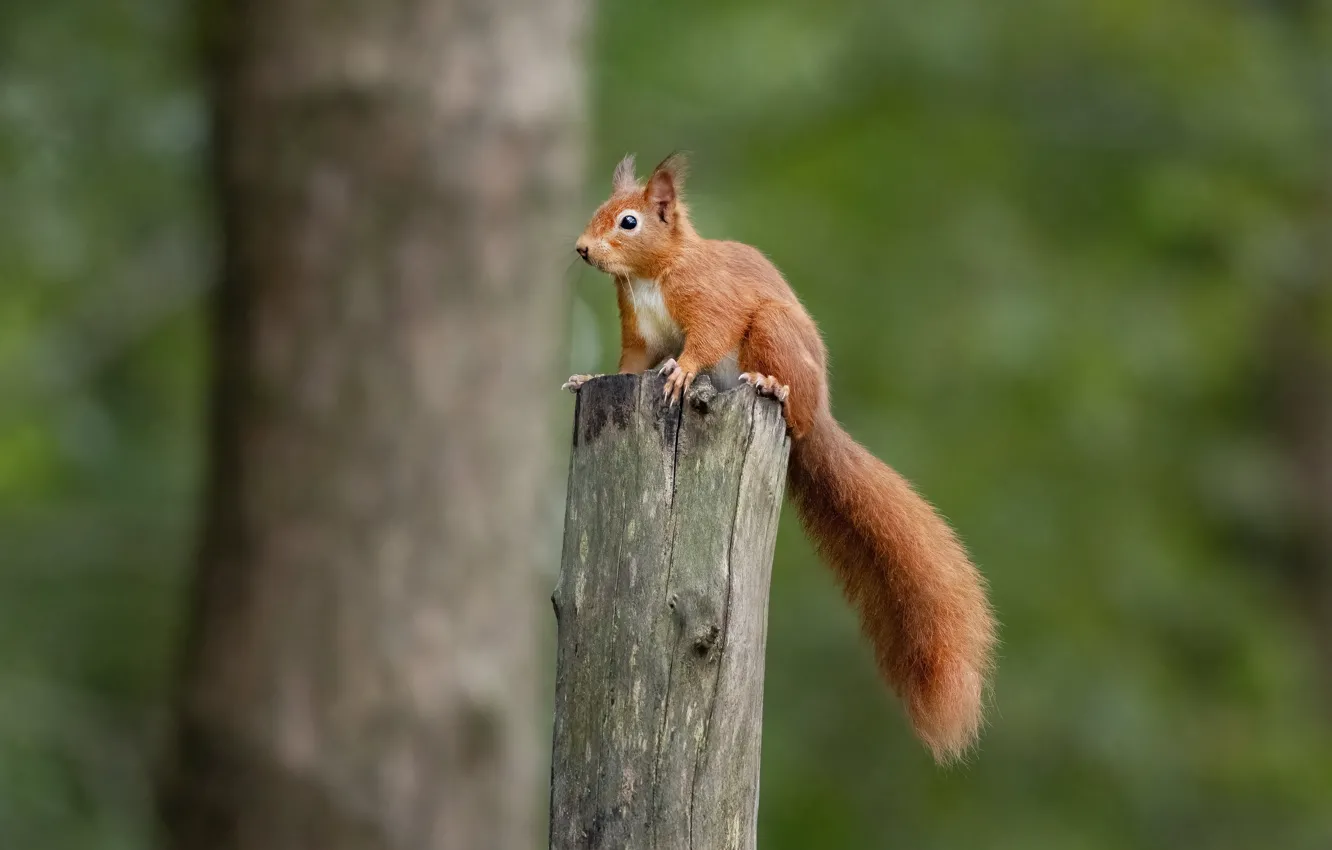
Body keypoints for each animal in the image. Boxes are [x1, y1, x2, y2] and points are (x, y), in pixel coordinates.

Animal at [563, 153, 998, 763]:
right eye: (601, 211)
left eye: (629, 222)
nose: (581, 249)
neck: (652, 274)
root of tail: (821, 415)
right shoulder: (637, 332)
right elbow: (629, 365)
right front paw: (588, 378)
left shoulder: (712, 299)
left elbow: (706, 337)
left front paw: (681, 372)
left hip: (773, 330)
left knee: (782, 388)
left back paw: (772, 386)